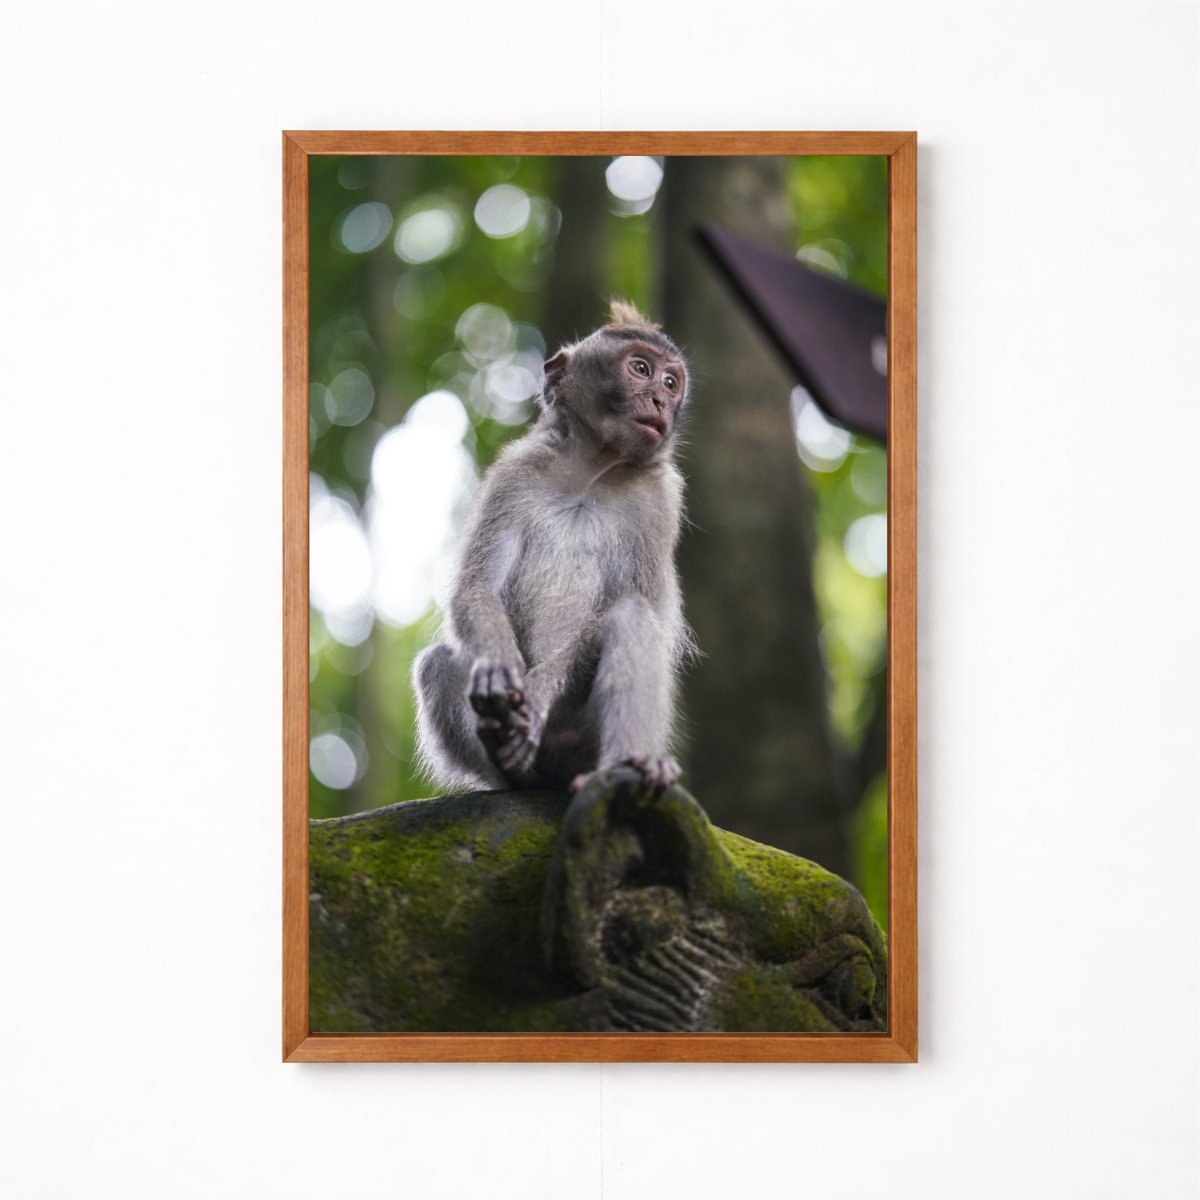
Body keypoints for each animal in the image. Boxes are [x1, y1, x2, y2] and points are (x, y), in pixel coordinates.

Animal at [413, 300, 693, 797]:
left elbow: (635, 603)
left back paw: (631, 765)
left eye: (670, 383)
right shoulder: (514, 474)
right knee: (436, 663)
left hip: (583, 739)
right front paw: (497, 667)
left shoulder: (659, 502)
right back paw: (512, 767)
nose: (661, 401)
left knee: (632, 617)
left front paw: (539, 692)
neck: (592, 472)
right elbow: (476, 587)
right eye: (641, 369)